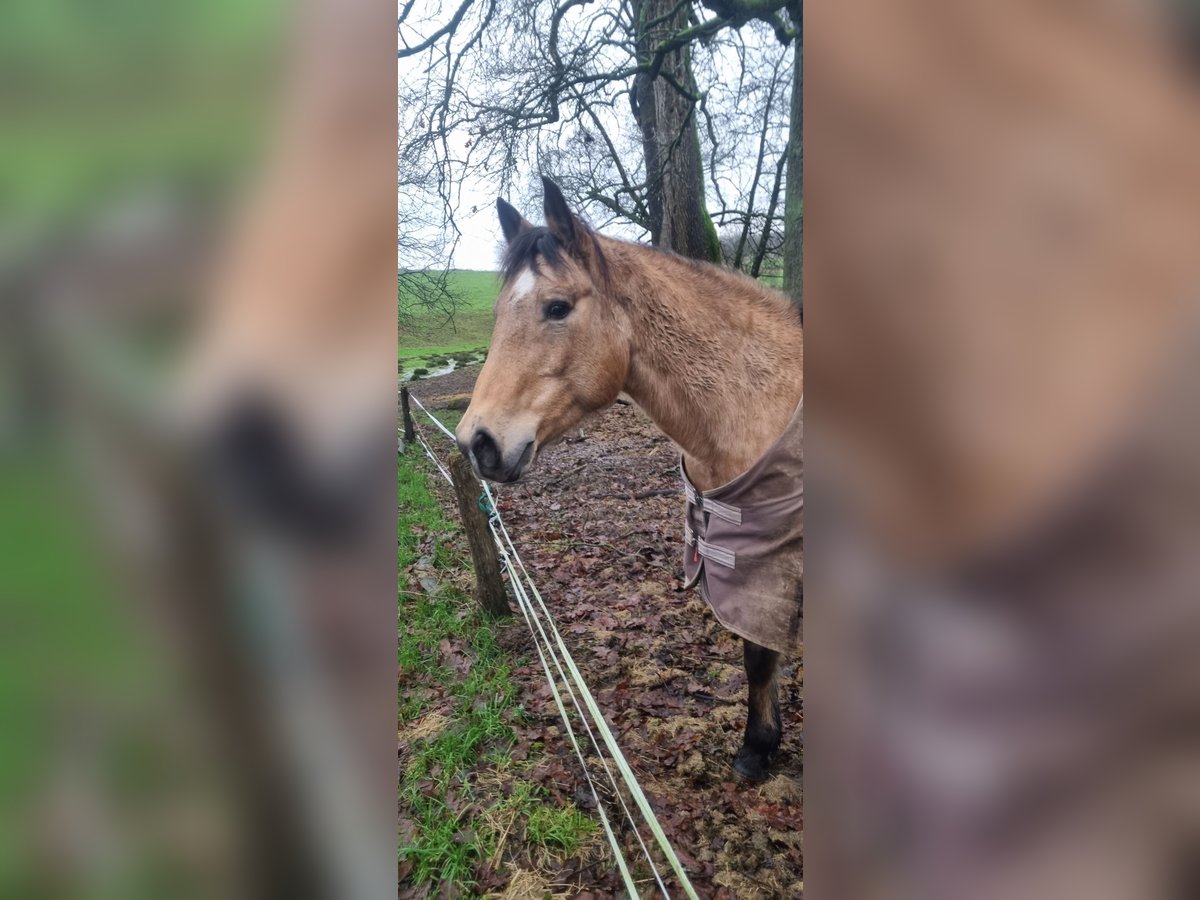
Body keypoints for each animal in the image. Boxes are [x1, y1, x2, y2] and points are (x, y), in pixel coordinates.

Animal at [458, 176, 806, 782]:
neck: (764, 408)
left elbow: (764, 654)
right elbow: (756, 653)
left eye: (557, 307)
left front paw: (759, 747)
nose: (476, 443)